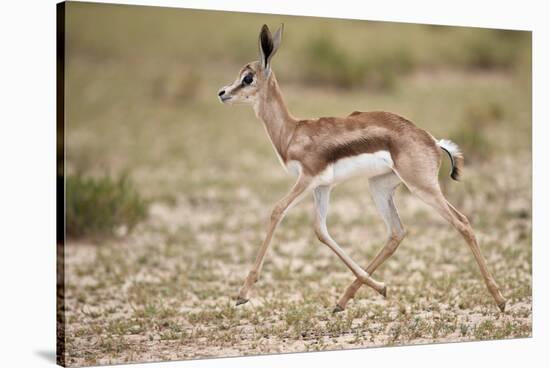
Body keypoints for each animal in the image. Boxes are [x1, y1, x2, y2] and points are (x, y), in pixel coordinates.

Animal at [217, 23, 508, 312]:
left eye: (247, 78)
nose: (222, 93)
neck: (292, 133)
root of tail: (432, 141)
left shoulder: (307, 179)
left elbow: (277, 211)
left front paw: (243, 294)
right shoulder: (322, 186)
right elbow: (321, 231)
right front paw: (380, 287)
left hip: (422, 187)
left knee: (462, 222)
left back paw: (500, 299)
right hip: (379, 186)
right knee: (396, 233)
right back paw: (345, 299)